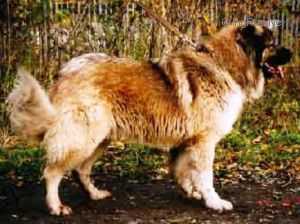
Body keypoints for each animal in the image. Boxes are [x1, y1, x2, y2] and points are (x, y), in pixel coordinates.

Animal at [7, 23, 292, 215]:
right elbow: (205, 176)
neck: (225, 65)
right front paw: (213, 201)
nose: (291, 53)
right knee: (52, 172)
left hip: (99, 139)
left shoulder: (186, 142)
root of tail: (66, 70)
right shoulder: (204, 141)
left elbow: (181, 171)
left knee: (81, 170)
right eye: (272, 44)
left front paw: (191, 192)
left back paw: (95, 194)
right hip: (83, 136)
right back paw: (56, 206)